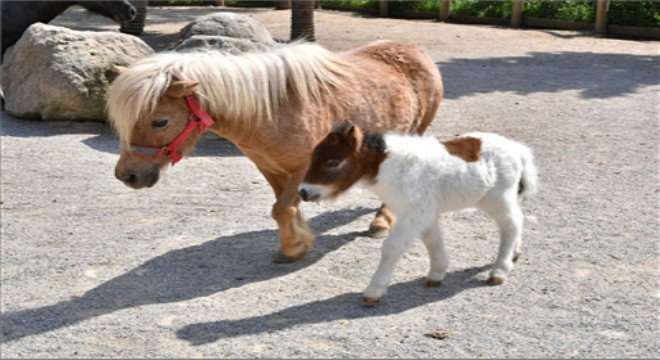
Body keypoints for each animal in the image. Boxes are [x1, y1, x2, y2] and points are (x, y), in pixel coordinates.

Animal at [107, 40, 444, 262]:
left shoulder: (305, 168)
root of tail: (414, 50)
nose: (128, 175)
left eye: (160, 121)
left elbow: (282, 208)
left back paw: (382, 221)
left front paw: (294, 246)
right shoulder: (270, 168)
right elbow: (283, 207)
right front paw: (298, 239)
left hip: (414, 130)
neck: (272, 111)